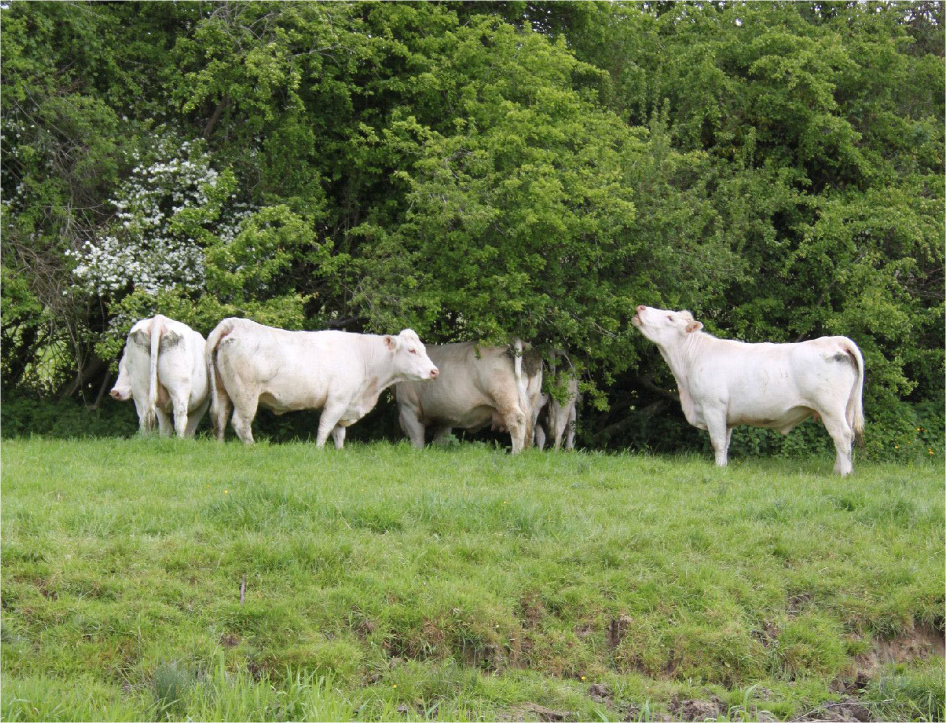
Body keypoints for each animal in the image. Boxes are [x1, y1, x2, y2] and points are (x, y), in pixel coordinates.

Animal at [205, 320, 436, 450]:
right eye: (412, 350)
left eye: (423, 348)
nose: (435, 371)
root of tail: (234, 323)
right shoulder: (337, 401)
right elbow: (325, 427)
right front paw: (318, 450)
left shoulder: (346, 405)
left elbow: (339, 432)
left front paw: (339, 452)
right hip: (246, 394)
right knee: (240, 423)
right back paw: (252, 448)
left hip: (223, 390)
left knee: (220, 416)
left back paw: (219, 446)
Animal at [390, 340, 544, 452]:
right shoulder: (444, 414)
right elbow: (441, 438)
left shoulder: (408, 407)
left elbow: (416, 436)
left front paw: (417, 452)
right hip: (531, 398)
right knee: (530, 421)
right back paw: (526, 451)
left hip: (504, 397)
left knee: (517, 420)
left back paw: (516, 453)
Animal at [628, 304, 864, 476]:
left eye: (669, 318)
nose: (639, 307)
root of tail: (834, 341)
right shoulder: (726, 417)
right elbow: (725, 442)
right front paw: (723, 466)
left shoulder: (713, 407)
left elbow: (717, 442)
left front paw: (718, 469)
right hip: (842, 409)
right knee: (842, 437)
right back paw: (839, 470)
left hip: (830, 407)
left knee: (842, 435)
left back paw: (844, 474)